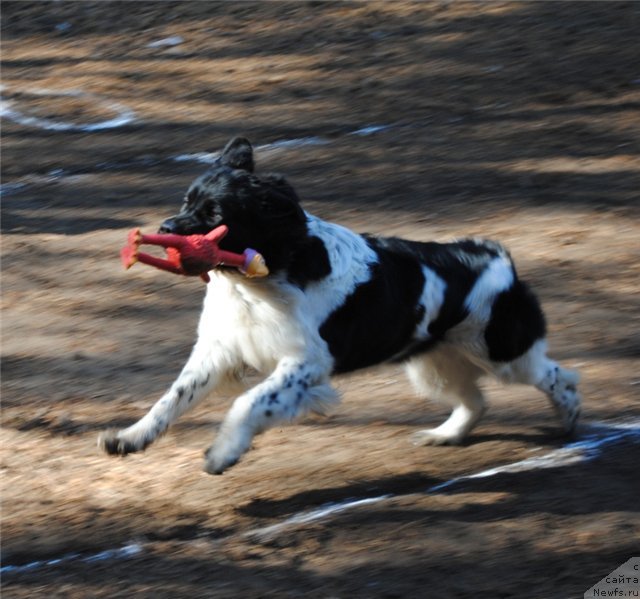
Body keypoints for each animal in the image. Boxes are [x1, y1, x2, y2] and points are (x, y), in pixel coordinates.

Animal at [99, 136, 580, 474]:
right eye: (187, 201)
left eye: (216, 214)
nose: (165, 228)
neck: (264, 273)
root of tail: (497, 257)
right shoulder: (219, 349)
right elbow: (172, 398)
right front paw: (129, 438)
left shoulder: (306, 362)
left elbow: (250, 403)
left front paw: (223, 452)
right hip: (433, 364)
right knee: (475, 401)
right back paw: (445, 435)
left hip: (501, 352)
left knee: (560, 376)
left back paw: (571, 421)